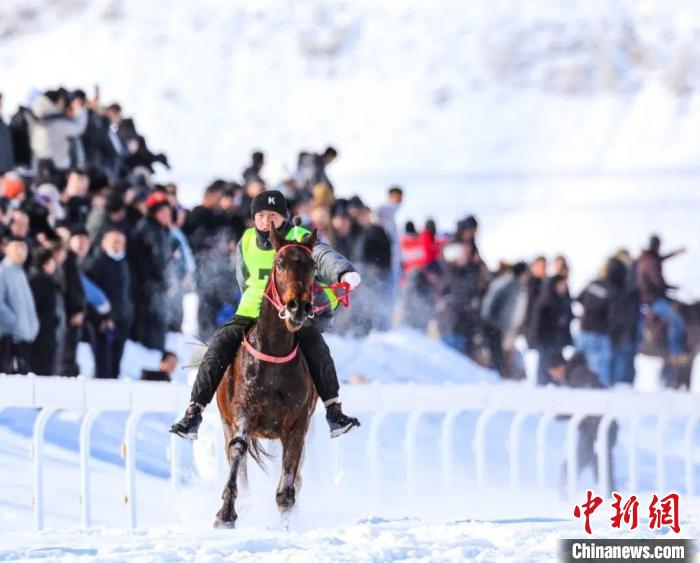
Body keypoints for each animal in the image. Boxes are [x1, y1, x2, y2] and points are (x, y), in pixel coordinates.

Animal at [213, 224, 320, 528]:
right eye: (279, 263)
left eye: (312, 267)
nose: (298, 307)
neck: (273, 355)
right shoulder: (242, 411)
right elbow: (238, 449)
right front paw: (226, 513)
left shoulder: (298, 423)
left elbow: (288, 482)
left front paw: (285, 524)